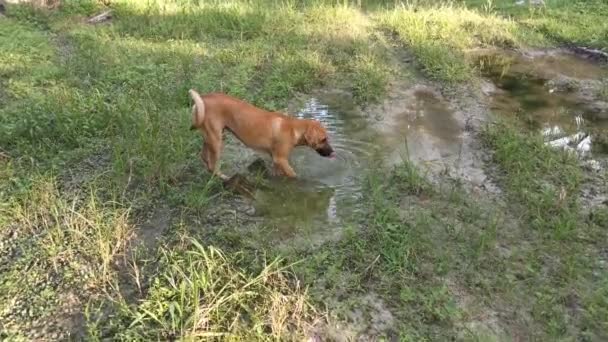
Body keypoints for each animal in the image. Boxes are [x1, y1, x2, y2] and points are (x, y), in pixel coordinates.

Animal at [188, 89, 334, 180]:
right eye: (323, 139)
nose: (333, 152)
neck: (294, 129)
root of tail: (203, 99)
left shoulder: (276, 160)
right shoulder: (280, 159)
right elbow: (294, 175)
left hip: (210, 137)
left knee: (205, 158)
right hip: (216, 140)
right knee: (213, 166)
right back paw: (223, 177)